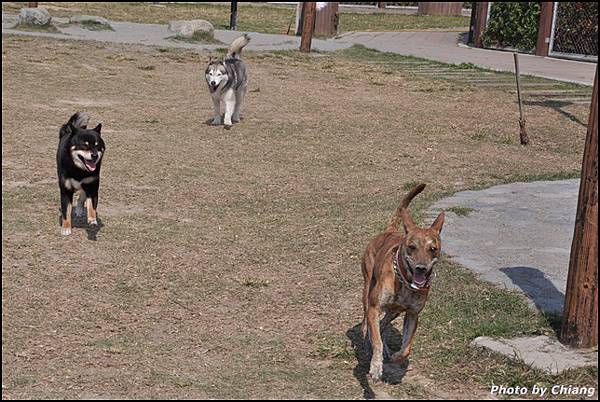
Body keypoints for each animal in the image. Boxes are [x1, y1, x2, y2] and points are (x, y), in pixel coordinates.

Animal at [358, 184, 442, 382]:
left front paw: (396, 356)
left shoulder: (412, 313)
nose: (421, 268)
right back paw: (367, 339)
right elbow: (376, 340)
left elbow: (406, 347)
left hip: (395, 311)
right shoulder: (375, 307)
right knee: (367, 321)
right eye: (412, 247)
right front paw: (375, 367)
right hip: (367, 288)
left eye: (433, 249)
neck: (405, 283)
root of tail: (388, 231)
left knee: (382, 324)